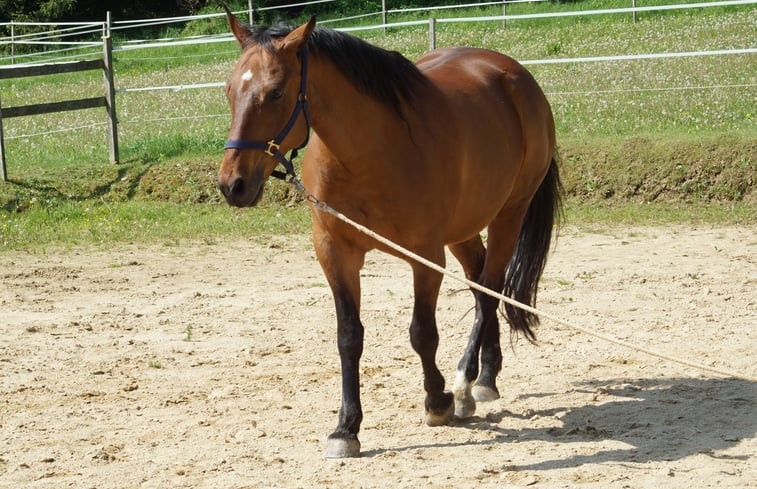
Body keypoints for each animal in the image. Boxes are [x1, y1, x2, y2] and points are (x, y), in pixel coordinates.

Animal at [216, 11, 560, 458]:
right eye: (229, 90)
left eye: (275, 93)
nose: (233, 185)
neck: (369, 151)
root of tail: (514, 74)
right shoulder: (335, 252)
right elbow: (349, 337)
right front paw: (346, 428)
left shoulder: (425, 255)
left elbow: (422, 333)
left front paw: (437, 401)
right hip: (463, 229)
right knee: (480, 282)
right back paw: (487, 375)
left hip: (508, 215)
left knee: (488, 291)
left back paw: (466, 385)